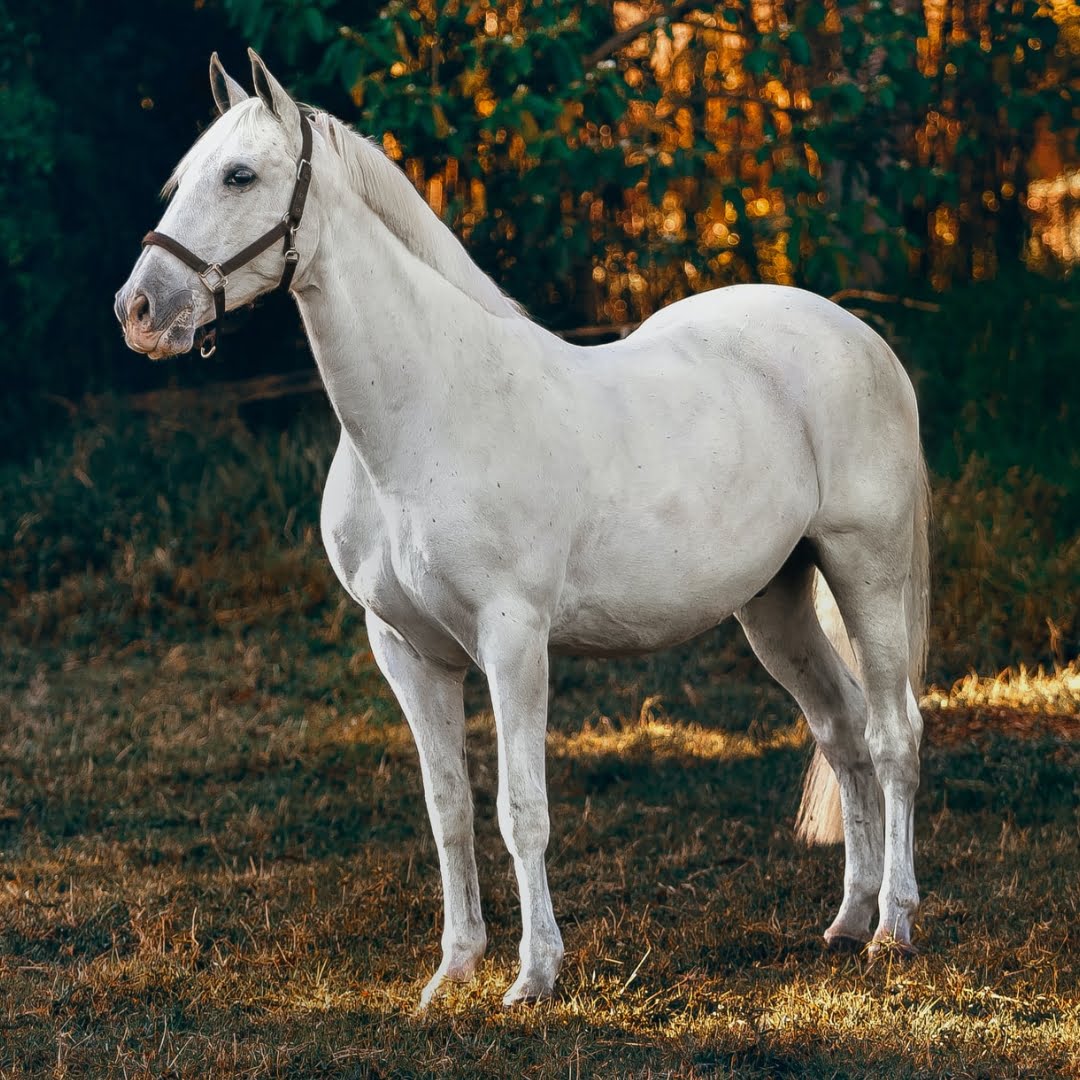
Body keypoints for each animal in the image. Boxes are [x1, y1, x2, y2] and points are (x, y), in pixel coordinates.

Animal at [116, 54, 928, 1006]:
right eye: (182, 180)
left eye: (240, 176)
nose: (139, 310)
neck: (428, 412)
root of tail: (861, 337)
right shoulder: (406, 650)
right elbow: (449, 812)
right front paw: (452, 971)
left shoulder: (513, 639)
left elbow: (520, 810)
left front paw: (534, 975)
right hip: (775, 603)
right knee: (841, 732)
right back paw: (846, 920)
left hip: (865, 570)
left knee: (893, 735)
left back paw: (893, 926)